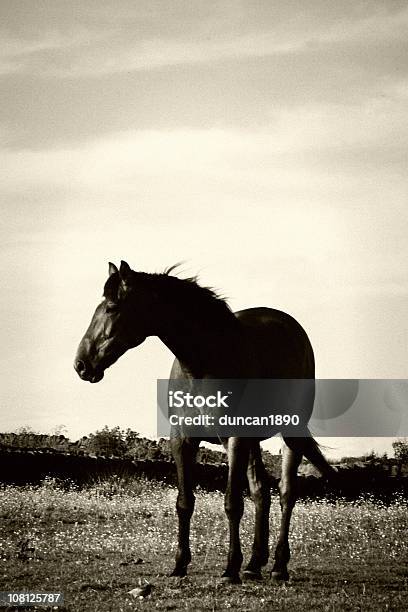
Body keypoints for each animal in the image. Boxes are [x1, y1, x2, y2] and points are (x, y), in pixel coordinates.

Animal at [74, 260, 334, 584]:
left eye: (111, 308)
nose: (81, 364)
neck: (203, 363)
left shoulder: (233, 439)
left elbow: (232, 503)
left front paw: (230, 569)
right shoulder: (183, 440)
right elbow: (185, 503)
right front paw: (179, 565)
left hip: (290, 433)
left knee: (287, 493)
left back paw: (277, 566)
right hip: (254, 440)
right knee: (261, 491)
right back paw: (254, 564)